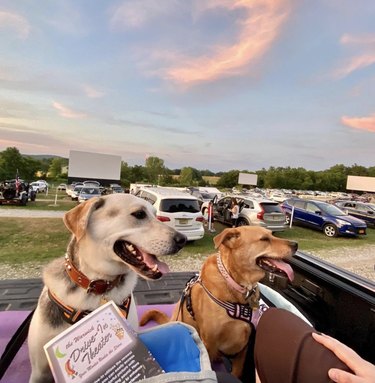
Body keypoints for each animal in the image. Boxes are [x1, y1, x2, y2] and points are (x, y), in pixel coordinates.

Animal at [140, 226, 298, 380]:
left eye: (272, 234)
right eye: (264, 239)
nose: (295, 245)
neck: (236, 283)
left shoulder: (244, 345)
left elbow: (237, 371)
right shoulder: (209, 343)